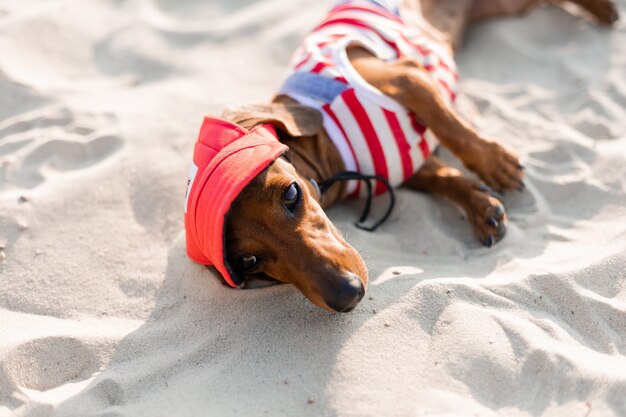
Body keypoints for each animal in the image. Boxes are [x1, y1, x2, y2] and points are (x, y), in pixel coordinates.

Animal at [219, 0, 616, 310]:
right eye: (249, 262)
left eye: (291, 194)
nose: (347, 295)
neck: (333, 148)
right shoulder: (406, 163)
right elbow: (444, 177)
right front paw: (480, 206)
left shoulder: (404, 78)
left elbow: (449, 125)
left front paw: (494, 163)